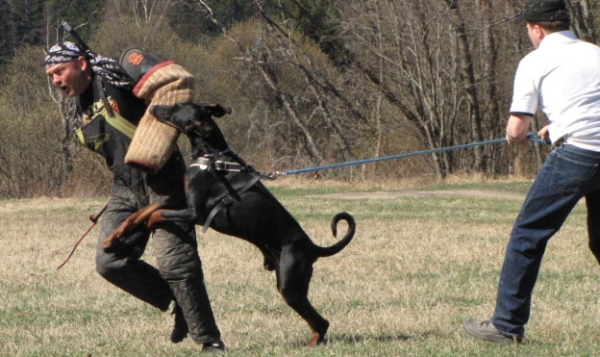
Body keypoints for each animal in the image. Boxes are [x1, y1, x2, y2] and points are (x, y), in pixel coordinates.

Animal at [103, 102, 356, 344]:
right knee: (318, 322)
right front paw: (113, 237)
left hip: (290, 283)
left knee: (320, 321)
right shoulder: (179, 198)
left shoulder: (196, 214)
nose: (153, 107)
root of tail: (313, 247)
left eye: (176, 110)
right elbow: (143, 211)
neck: (212, 157)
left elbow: (156, 215)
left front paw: (142, 228)